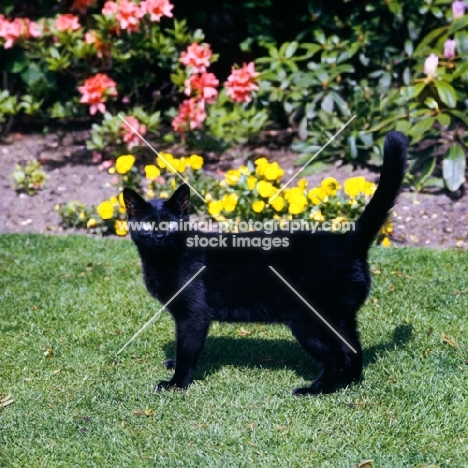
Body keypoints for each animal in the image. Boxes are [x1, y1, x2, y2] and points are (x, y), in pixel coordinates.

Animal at [123, 131, 406, 394]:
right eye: (147, 224)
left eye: (169, 224)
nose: (158, 235)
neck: (163, 259)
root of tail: (347, 240)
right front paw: (174, 366)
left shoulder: (193, 316)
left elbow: (187, 349)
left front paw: (177, 384)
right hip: (342, 317)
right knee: (353, 352)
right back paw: (348, 382)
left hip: (309, 320)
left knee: (337, 359)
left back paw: (314, 390)